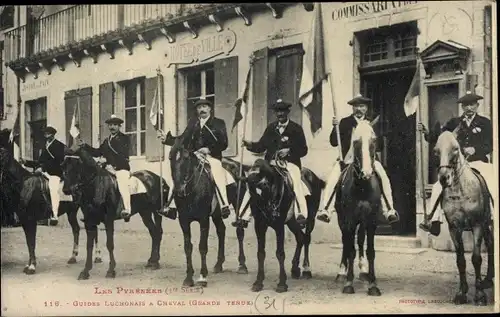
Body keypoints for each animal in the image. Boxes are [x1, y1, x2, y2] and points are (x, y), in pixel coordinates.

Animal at [61, 144, 167, 278]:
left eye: (76, 165)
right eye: (63, 166)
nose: (66, 190)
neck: (96, 186)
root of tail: (157, 177)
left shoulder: (108, 220)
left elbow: (109, 244)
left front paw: (111, 270)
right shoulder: (89, 222)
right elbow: (89, 246)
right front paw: (85, 271)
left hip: (156, 212)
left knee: (158, 232)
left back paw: (155, 263)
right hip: (145, 213)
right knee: (153, 233)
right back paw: (151, 261)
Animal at [241, 153, 324, 292]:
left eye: (265, 186)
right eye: (250, 189)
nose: (267, 211)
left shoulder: (279, 226)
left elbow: (280, 253)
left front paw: (281, 284)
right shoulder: (259, 225)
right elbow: (260, 253)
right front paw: (258, 282)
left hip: (310, 218)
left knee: (306, 239)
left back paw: (306, 270)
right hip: (292, 222)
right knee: (300, 238)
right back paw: (295, 269)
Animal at [336, 119, 386, 296]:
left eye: (374, 140)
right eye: (355, 142)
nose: (367, 173)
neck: (363, 187)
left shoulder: (371, 221)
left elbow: (370, 251)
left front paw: (373, 284)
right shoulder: (349, 220)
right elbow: (350, 249)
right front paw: (348, 283)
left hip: (362, 222)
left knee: (360, 240)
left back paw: (364, 272)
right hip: (342, 220)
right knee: (346, 242)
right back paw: (342, 273)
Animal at [432, 130, 494, 304]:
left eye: (455, 148)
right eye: (435, 150)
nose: (444, 178)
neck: (460, 192)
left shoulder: (477, 225)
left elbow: (476, 258)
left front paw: (479, 295)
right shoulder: (454, 228)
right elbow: (460, 260)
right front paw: (462, 293)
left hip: (487, 223)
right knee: (490, 243)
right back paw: (488, 279)